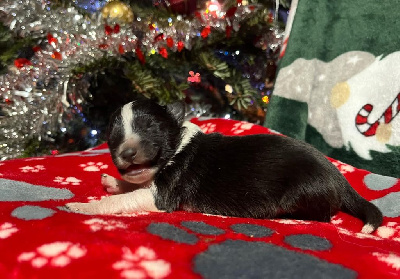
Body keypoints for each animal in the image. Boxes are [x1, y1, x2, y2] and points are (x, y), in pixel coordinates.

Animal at [66, 98, 384, 234]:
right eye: (112, 135)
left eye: (150, 128)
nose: (128, 152)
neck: (176, 144)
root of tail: (338, 177)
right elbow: (131, 185)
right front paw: (111, 181)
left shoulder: (162, 196)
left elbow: (123, 199)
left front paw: (83, 206)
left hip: (301, 193)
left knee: (323, 216)